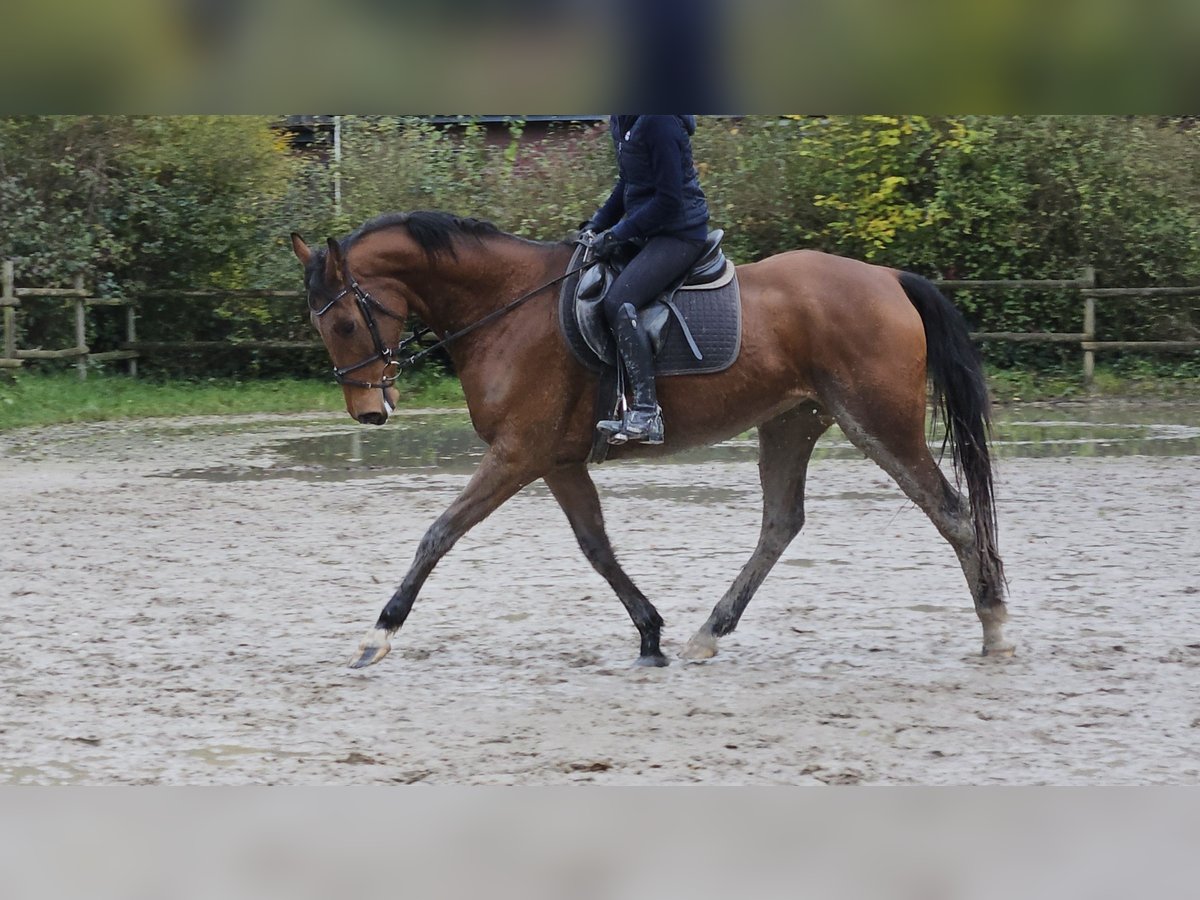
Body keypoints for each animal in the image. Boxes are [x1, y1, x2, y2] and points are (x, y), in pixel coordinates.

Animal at [290, 213, 1012, 672]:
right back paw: (706, 634)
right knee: (781, 523)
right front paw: (649, 633)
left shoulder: (518, 453)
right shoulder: (555, 461)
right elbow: (596, 547)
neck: (507, 305)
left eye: (347, 322)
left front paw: (378, 634)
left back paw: (996, 628)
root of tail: (888, 277)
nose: (369, 412)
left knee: (951, 513)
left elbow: (439, 532)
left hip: (877, 421)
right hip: (792, 421)